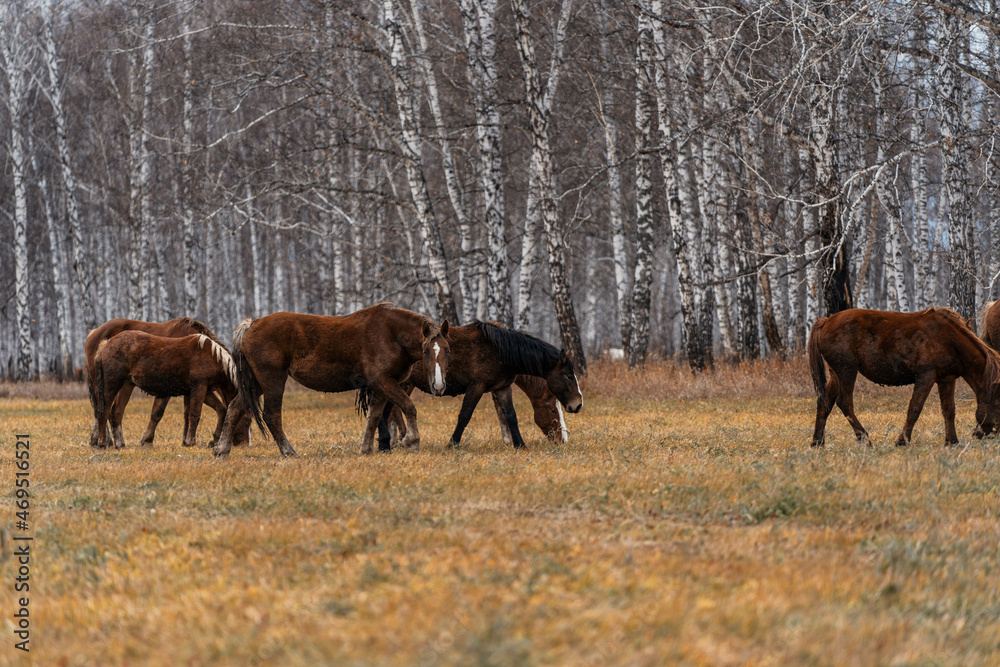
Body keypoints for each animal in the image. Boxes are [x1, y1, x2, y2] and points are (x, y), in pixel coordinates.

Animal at [84, 317, 232, 447]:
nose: (235, 442)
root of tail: (95, 334)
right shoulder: (182, 388)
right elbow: (158, 413)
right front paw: (147, 440)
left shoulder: (195, 389)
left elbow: (203, 411)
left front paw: (189, 440)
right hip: (104, 384)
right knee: (101, 409)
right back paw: (103, 441)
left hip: (124, 385)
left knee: (112, 411)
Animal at [211, 304, 450, 458]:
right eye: (426, 351)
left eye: (447, 349)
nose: (439, 386)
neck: (391, 334)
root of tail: (251, 325)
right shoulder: (382, 381)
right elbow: (409, 407)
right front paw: (412, 442)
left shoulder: (381, 385)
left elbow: (373, 417)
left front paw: (366, 449)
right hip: (272, 380)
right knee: (272, 415)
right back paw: (289, 451)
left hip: (255, 383)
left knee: (234, 408)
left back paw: (222, 450)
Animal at [363, 320, 583, 450]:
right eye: (569, 376)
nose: (577, 404)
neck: (499, 350)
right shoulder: (477, 386)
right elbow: (465, 415)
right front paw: (452, 444)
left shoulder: (502, 388)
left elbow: (511, 416)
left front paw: (519, 445)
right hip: (403, 384)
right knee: (390, 411)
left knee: (388, 411)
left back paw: (387, 443)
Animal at [808, 307, 1000, 447]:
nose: (983, 434)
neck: (950, 340)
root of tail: (825, 321)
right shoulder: (926, 376)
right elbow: (915, 409)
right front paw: (902, 441)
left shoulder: (947, 379)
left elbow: (949, 410)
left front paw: (952, 441)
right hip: (847, 371)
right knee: (844, 403)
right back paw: (865, 440)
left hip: (835, 374)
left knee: (824, 404)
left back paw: (817, 442)